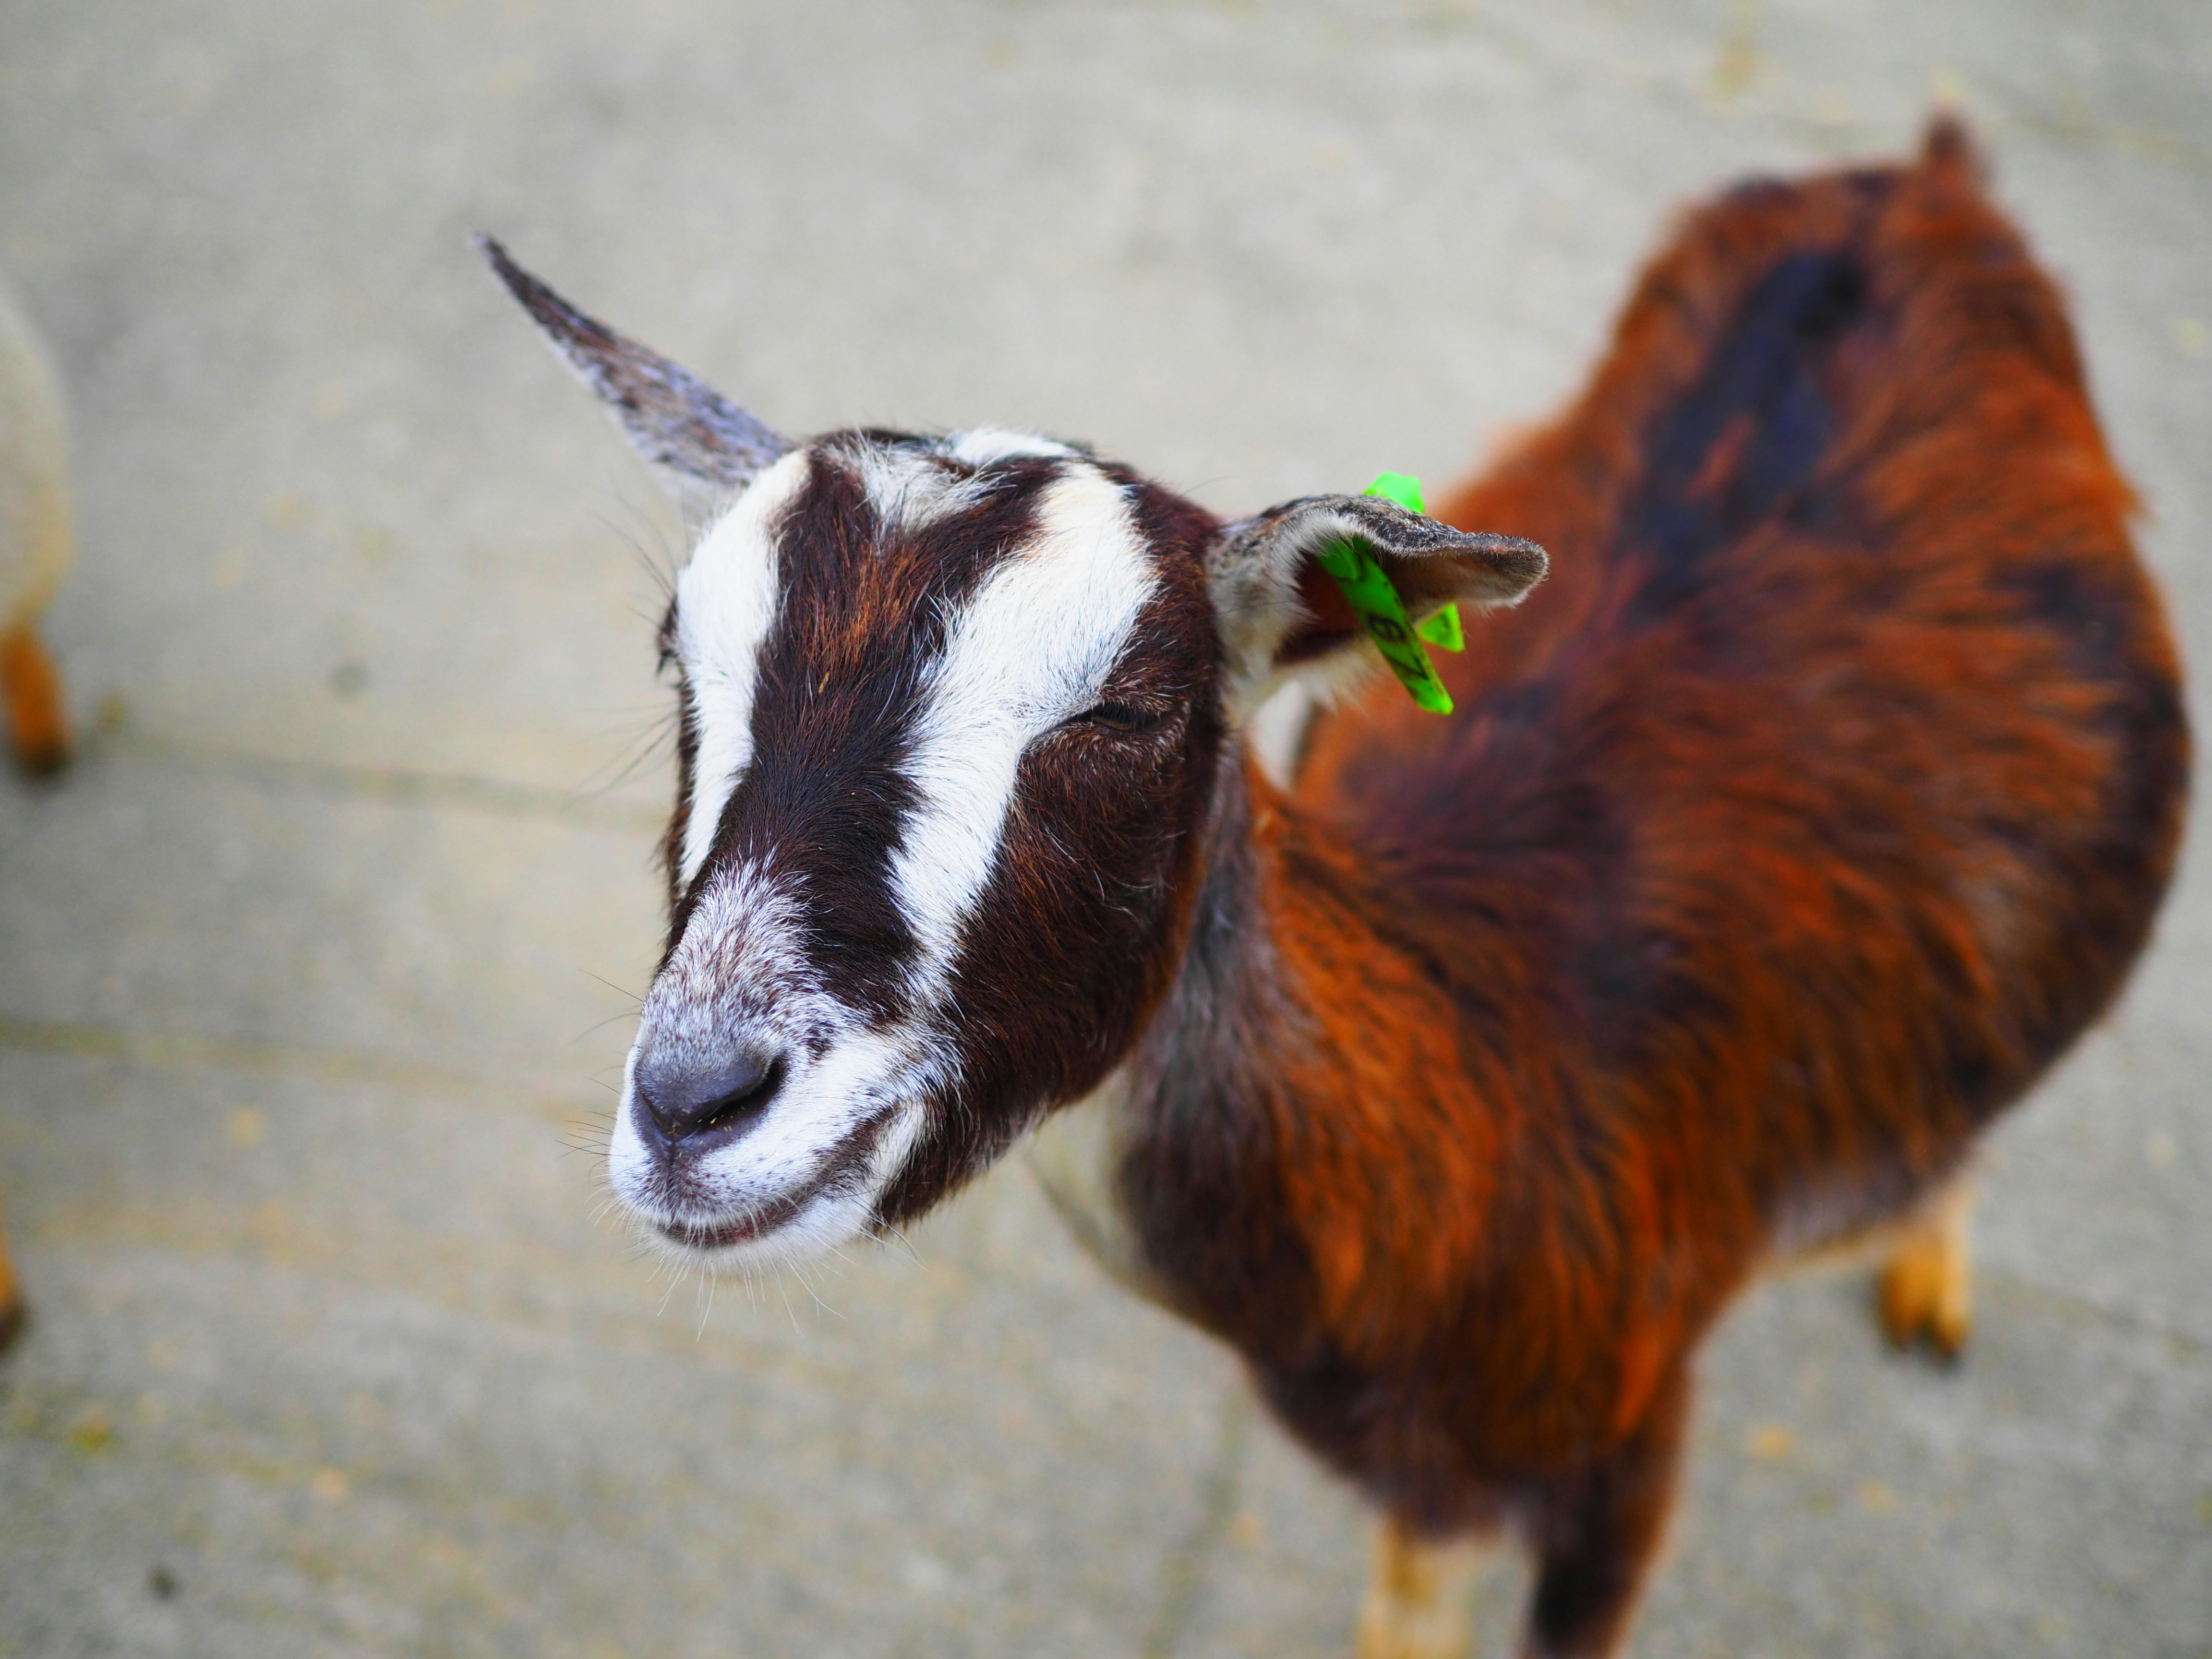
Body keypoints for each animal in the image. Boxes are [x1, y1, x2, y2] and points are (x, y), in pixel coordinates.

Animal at [486, 119, 2187, 1657]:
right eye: (677, 655)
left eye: (1131, 709)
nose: (697, 1106)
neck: (1501, 1076)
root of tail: (1921, 176)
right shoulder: (1427, 1495)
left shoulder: (1627, 1467)